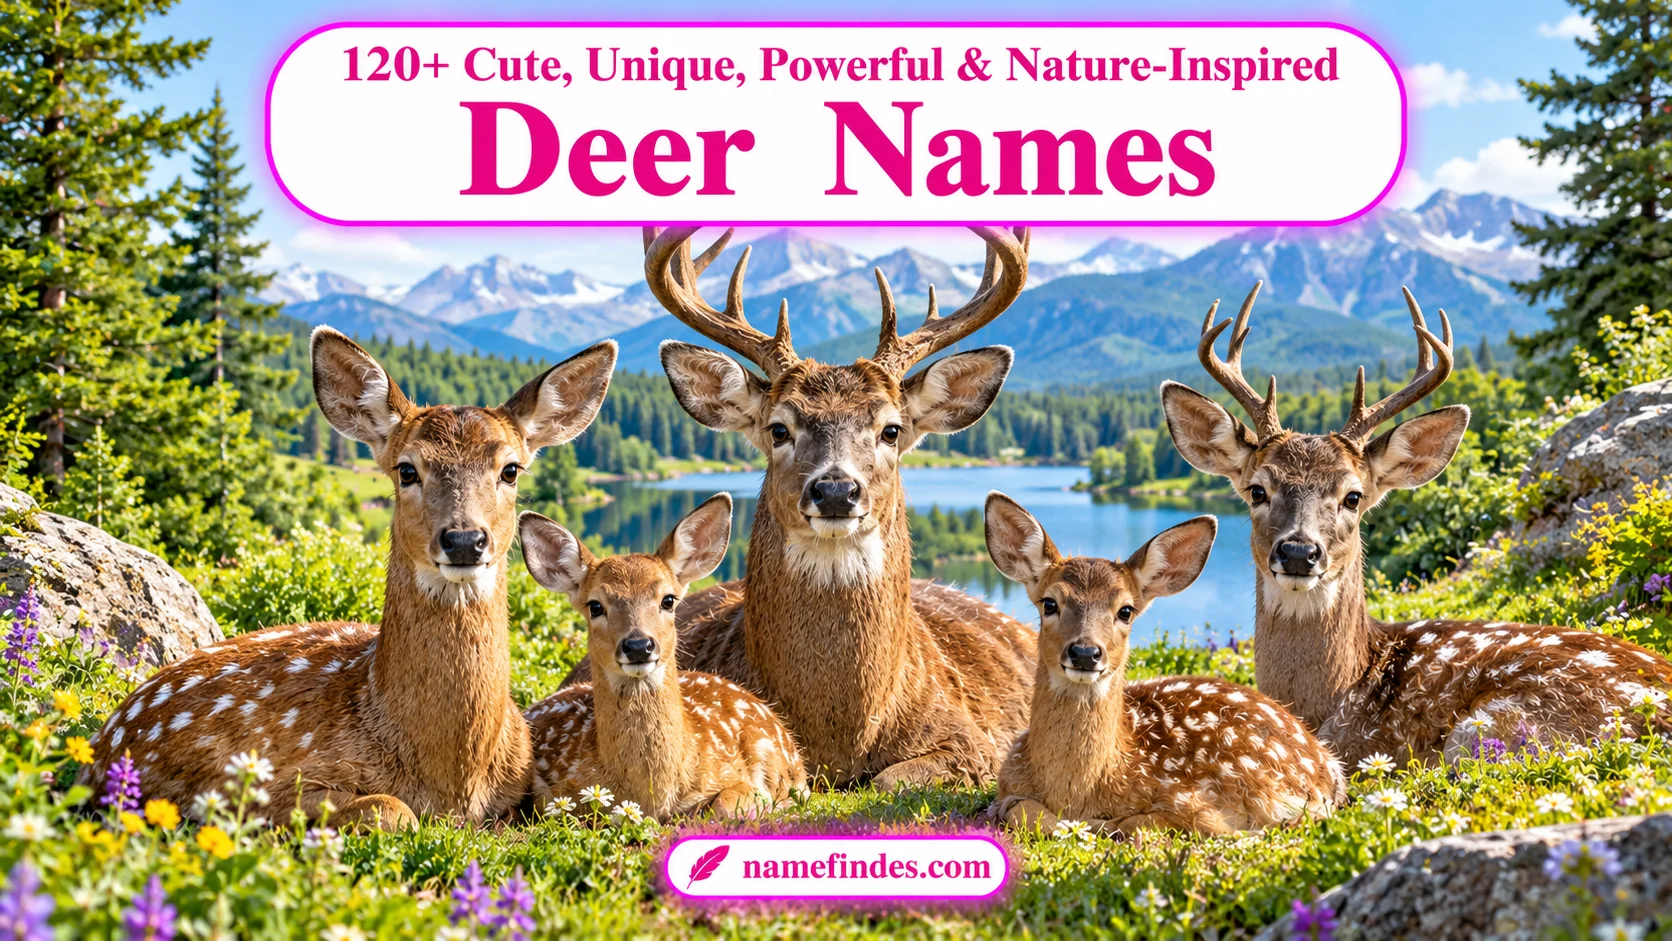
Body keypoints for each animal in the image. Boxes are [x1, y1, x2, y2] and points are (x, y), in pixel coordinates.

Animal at [76, 328, 617, 829]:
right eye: (406, 470)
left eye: (510, 469)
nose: (464, 540)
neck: (454, 780)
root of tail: (100, 743)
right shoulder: (242, 784)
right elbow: (392, 808)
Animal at [563, 226, 1039, 788]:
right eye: (779, 429)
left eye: (891, 429)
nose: (835, 490)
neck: (840, 735)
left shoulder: (974, 742)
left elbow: (889, 777)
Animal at [984, 493, 1345, 836]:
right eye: (1049, 603)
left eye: (1125, 611)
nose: (1085, 652)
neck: (1076, 793)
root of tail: (1328, 765)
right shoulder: (1007, 777)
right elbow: (1020, 809)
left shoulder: (1188, 800)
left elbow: (1155, 822)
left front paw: (1106, 824)